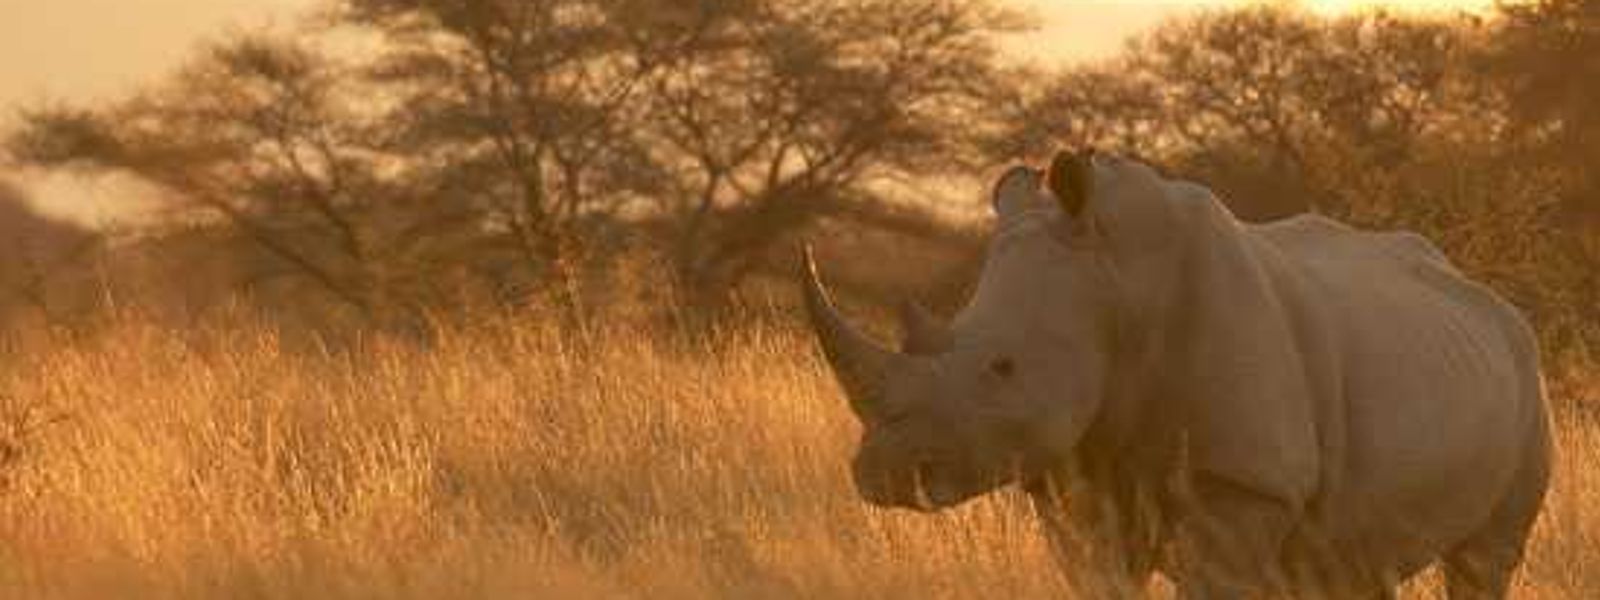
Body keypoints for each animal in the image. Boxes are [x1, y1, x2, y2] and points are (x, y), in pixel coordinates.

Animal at [801, 150, 1551, 599]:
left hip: (1525, 376)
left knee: (1483, 559)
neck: (1116, 283)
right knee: (1351, 560)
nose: (884, 474)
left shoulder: (1243, 486)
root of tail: (1492, 300)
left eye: (1002, 367)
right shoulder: (1078, 488)